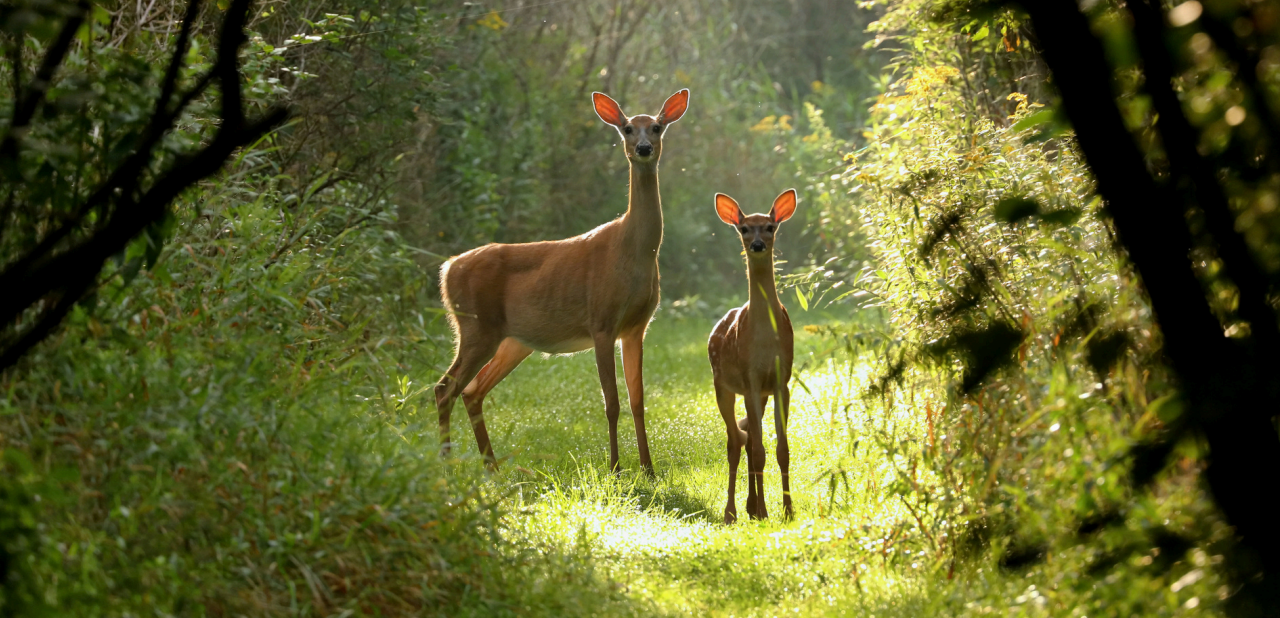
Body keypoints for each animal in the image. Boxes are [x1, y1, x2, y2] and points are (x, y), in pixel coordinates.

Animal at [435, 88, 691, 473]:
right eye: (628, 128)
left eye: (657, 127)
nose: (644, 148)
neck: (632, 251)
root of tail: (448, 269)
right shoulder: (601, 320)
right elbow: (611, 403)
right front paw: (616, 469)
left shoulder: (636, 327)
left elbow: (637, 400)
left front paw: (649, 470)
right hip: (476, 326)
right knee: (444, 388)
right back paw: (448, 466)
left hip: (512, 340)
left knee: (471, 390)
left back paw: (491, 468)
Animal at [706, 188, 793, 522]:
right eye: (744, 228)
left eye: (770, 226)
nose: (757, 244)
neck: (765, 341)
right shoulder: (751, 378)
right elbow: (758, 451)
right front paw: (768, 512)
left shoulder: (781, 381)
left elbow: (781, 450)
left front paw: (788, 510)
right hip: (723, 386)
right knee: (735, 442)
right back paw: (732, 512)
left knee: (747, 439)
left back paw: (750, 507)